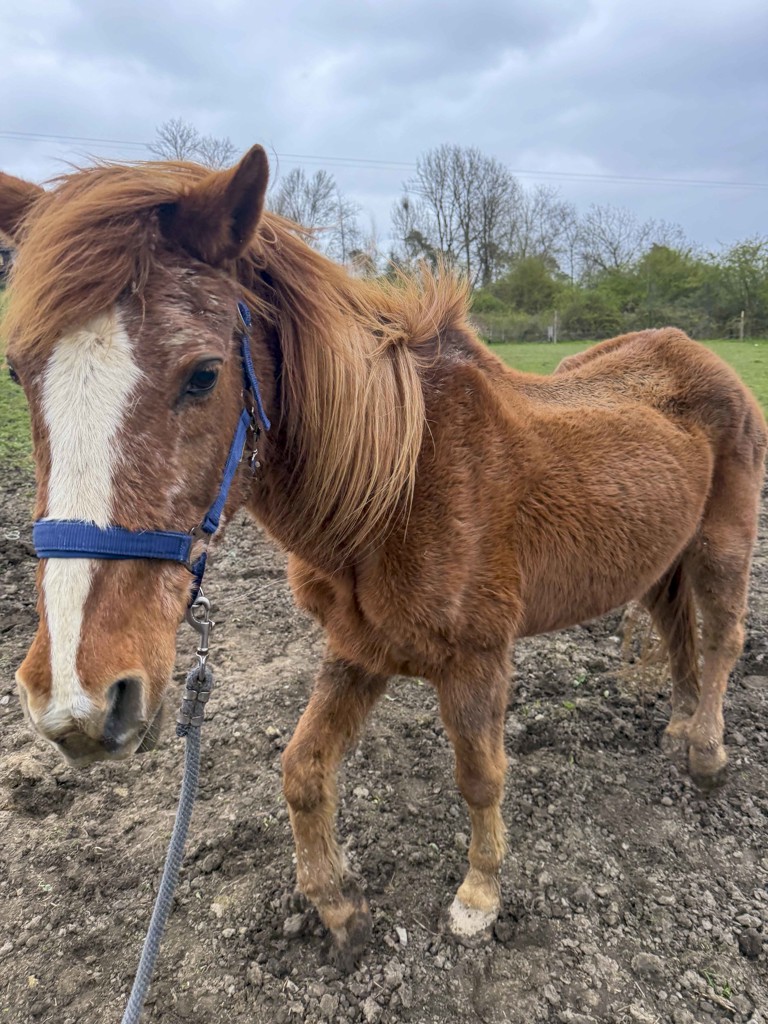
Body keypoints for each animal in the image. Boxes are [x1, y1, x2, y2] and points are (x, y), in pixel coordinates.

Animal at [1, 147, 765, 968]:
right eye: (19, 374)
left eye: (203, 374)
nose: (77, 701)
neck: (397, 484)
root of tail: (695, 354)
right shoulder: (357, 649)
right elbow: (302, 769)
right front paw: (338, 905)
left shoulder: (477, 661)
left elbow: (480, 777)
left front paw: (478, 898)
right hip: (659, 559)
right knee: (677, 633)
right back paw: (681, 726)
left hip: (722, 545)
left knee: (722, 640)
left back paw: (707, 754)